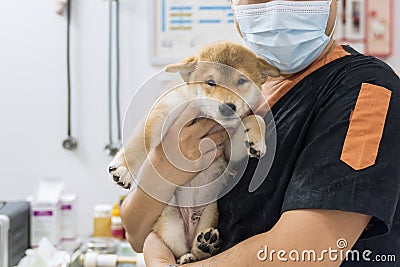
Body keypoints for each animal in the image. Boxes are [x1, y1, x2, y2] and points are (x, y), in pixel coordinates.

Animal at [108, 40, 280, 264]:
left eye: (242, 81)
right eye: (211, 82)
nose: (228, 108)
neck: (209, 118)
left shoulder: (227, 149)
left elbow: (255, 119)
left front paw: (256, 140)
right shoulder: (164, 111)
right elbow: (140, 142)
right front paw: (124, 168)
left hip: (208, 214)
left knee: (195, 250)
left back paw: (204, 246)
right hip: (171, 224)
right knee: (179, 250)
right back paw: (188, 256)